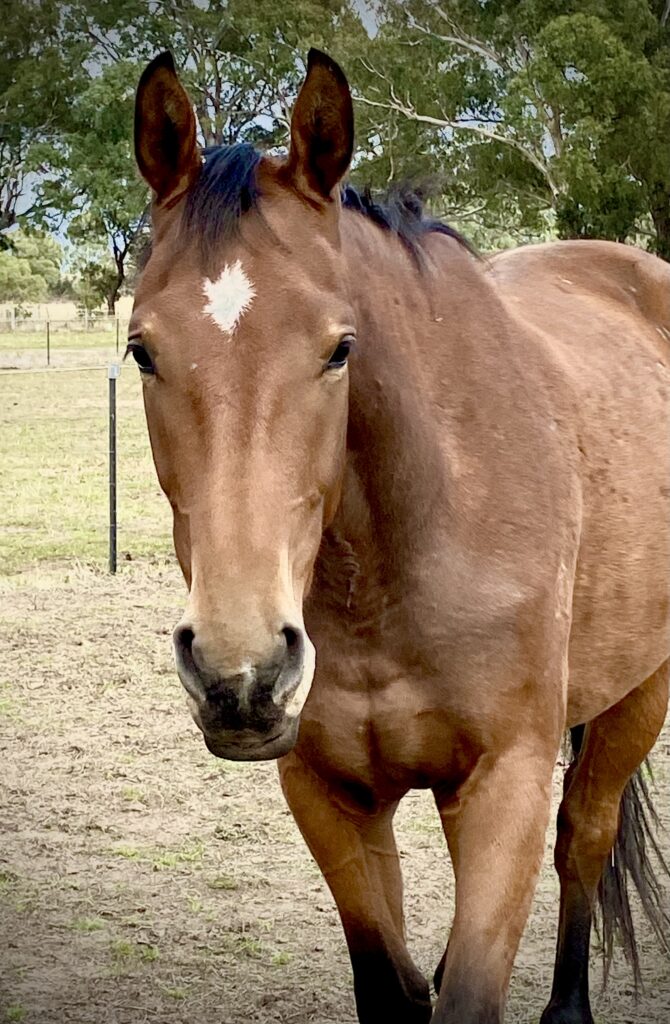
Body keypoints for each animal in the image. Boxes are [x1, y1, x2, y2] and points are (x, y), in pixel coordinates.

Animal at [132, 49, 670, 1024]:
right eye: (142, 349)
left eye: (340, 348)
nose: (240, 672)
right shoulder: (329, 794)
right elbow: (392, 984)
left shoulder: (504, 790)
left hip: (639, 696)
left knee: (585, 835)